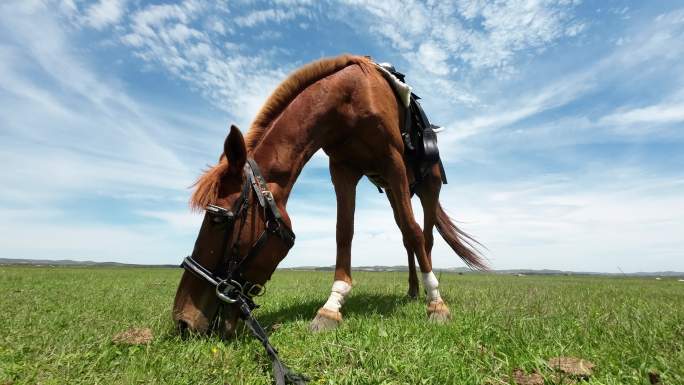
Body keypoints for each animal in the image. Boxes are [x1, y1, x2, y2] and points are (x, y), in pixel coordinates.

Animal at [174, 54, 484, 336]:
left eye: (217, 219)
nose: (182, 320)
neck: (349, 98)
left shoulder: (392, 161)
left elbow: (414, 231)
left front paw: (437, 305)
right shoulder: (343, 170)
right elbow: (344, 232)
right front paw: (331, 307)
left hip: (428, 188)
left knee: (424, 235)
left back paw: (427, 292)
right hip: (397, 192)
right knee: (407, 237)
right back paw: (412, 290)